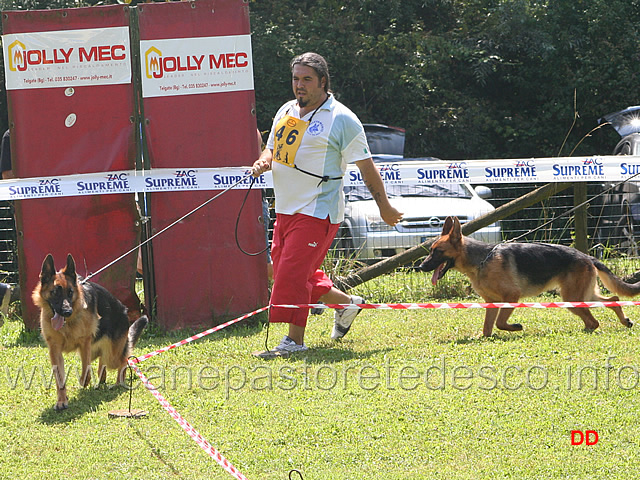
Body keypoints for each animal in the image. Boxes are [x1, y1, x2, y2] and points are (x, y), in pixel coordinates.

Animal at [33, 253, 148, 410]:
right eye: (55, 292)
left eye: (70, 292)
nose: (67, 311)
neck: (68, 323)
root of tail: (124, 310)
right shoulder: (55, 350)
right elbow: (60, 378)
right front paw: (62, 400)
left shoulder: (85, 342)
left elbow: (85, 368)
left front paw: (84, 381)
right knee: (103, 361)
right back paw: (101, 380)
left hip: (112, 355)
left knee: (124, 359)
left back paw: (119, 382)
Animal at [418, 216, 640, 336]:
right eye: (431, 250)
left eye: (437, 252)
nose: (420, 266)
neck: (481, 260)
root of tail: (587, 256)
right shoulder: (492, 302)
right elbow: (487, 328)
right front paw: (485, 337)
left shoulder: (511, 297)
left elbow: (500, 322)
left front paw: (515, 327)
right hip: (582, 295)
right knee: (614, 299)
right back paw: (624, 321)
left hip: (572, 298)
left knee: (594, 321)